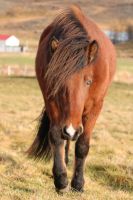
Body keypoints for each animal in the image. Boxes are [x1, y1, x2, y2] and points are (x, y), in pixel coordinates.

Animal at [27, 4, 115, 192]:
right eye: (57, 81)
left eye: (88, 81)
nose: (71, 130)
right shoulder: (52, 102)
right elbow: (57, 137)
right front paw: (61, 180)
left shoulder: (95, 108)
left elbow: (82, 145)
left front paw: (78, 184)